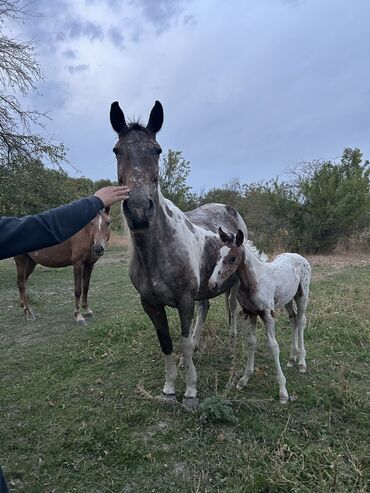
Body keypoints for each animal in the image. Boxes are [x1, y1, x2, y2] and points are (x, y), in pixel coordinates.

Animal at [210, 229, 310, 402]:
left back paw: (302, 362)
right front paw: (244, 379)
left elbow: (273, 346)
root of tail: (299, 256)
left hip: (302, 296)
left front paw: (283, 391)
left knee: (301, 321)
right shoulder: (250, 313)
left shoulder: (268, 313)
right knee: (293, 319)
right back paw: (292, 358)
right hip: (287, 299)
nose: (212, 284)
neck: (252, 281)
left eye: (232, 258)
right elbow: (251, 343)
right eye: (218, 255)